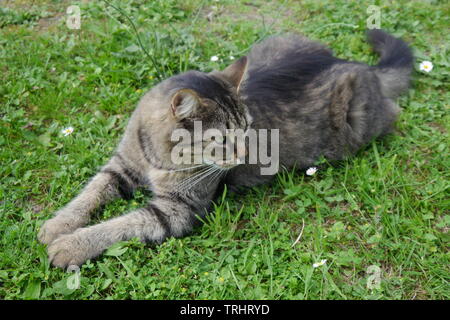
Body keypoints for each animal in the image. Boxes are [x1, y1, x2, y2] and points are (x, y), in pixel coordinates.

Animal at [37, 29, 412, 268]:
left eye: (246, 129)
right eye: (220, 140)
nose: (246, 155)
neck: (155, 155)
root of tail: (357, 64)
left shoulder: (178, 210)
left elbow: (117, 226)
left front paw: (71, 245)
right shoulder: (120, 167)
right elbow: (89, 193)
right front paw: (58, 225)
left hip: (357, 124)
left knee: (395, 113)